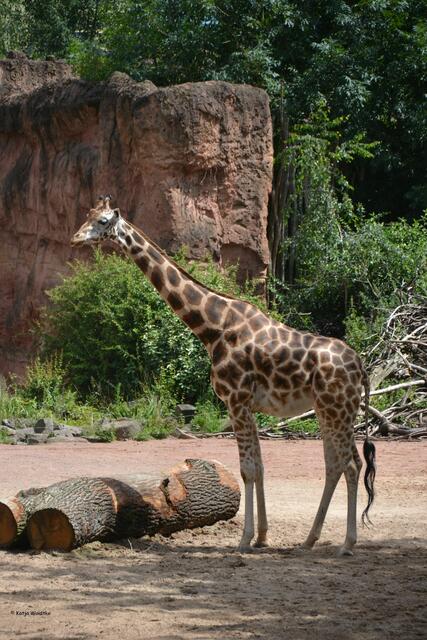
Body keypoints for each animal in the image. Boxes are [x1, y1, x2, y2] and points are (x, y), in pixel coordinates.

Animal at [71, 196, 376, 555]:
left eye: (103, 221)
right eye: (88, 215)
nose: (76, 238)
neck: (212, 328)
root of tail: (360, 366)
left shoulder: (235, 400)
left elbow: (247, 470)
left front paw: (244, 540)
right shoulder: (247, 406)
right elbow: (259, 468)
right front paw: (261, 537)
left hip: (336, 409)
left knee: (350, 466)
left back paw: (347, 544)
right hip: (332, 411)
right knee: (337, 465)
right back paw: (309, 539)